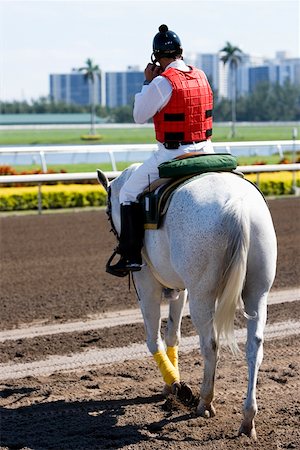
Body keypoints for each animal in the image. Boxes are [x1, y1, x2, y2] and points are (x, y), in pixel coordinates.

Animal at [98, 164, 276, 440]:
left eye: (108, 212)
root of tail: (237, 205)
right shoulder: (179, 289)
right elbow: (173, 336)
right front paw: (171, 383)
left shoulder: (146, 283)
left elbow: (154, 339)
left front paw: (176, 386)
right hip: (257, 293)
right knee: (254, 346)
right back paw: (248, 418)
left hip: (202, 295)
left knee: (211, 345)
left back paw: (205, 402)